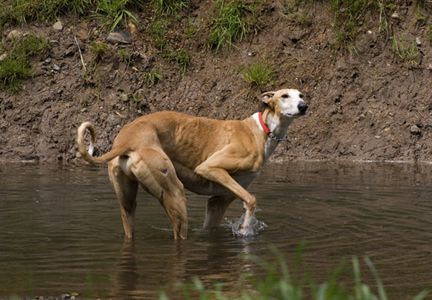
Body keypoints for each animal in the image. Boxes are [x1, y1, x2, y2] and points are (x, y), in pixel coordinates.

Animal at [77, 89, 308, 239]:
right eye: (284, 95)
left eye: (301, 95)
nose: (304, 107)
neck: (261, 129)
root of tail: (126, 140)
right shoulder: (210, 168)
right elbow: (251, 200)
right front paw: (245, 228)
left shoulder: (218, 202)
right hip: (175, 194)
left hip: (127, 201)